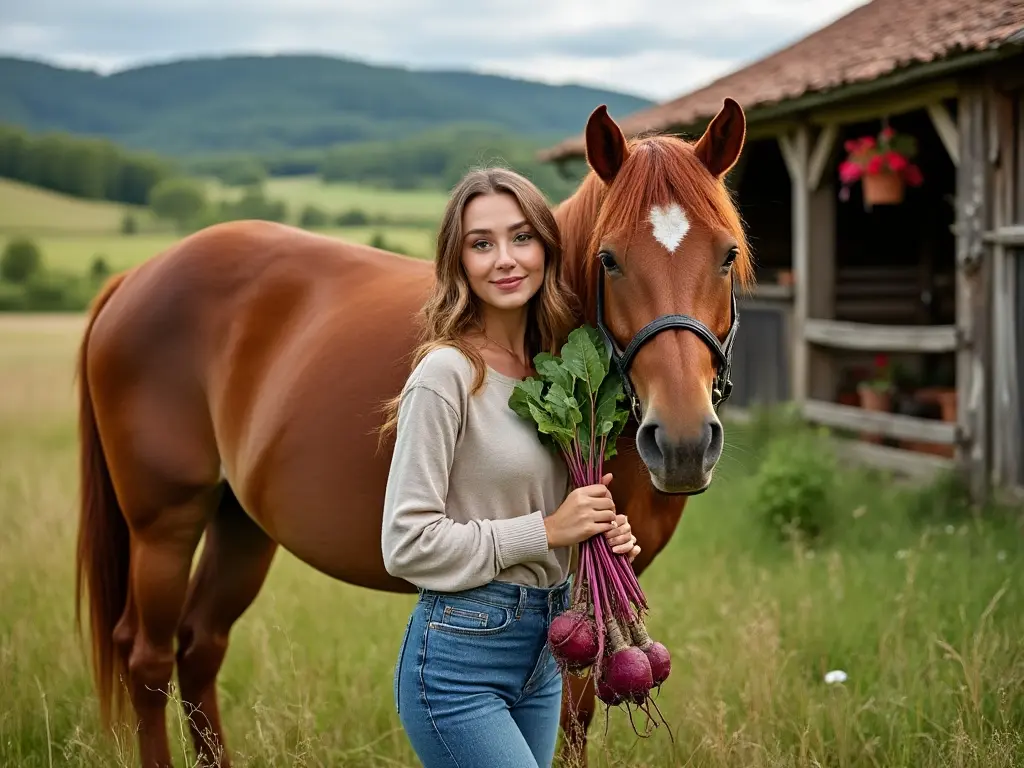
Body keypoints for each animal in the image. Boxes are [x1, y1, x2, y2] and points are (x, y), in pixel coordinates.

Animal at [72, 99, 749, 768]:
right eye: (610, 259)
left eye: (727, 256)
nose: (684, 442)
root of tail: (135, 277)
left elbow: (576, 716)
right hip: (165, 524)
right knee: (148, 657)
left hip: (239, 524)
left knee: (200, 643)